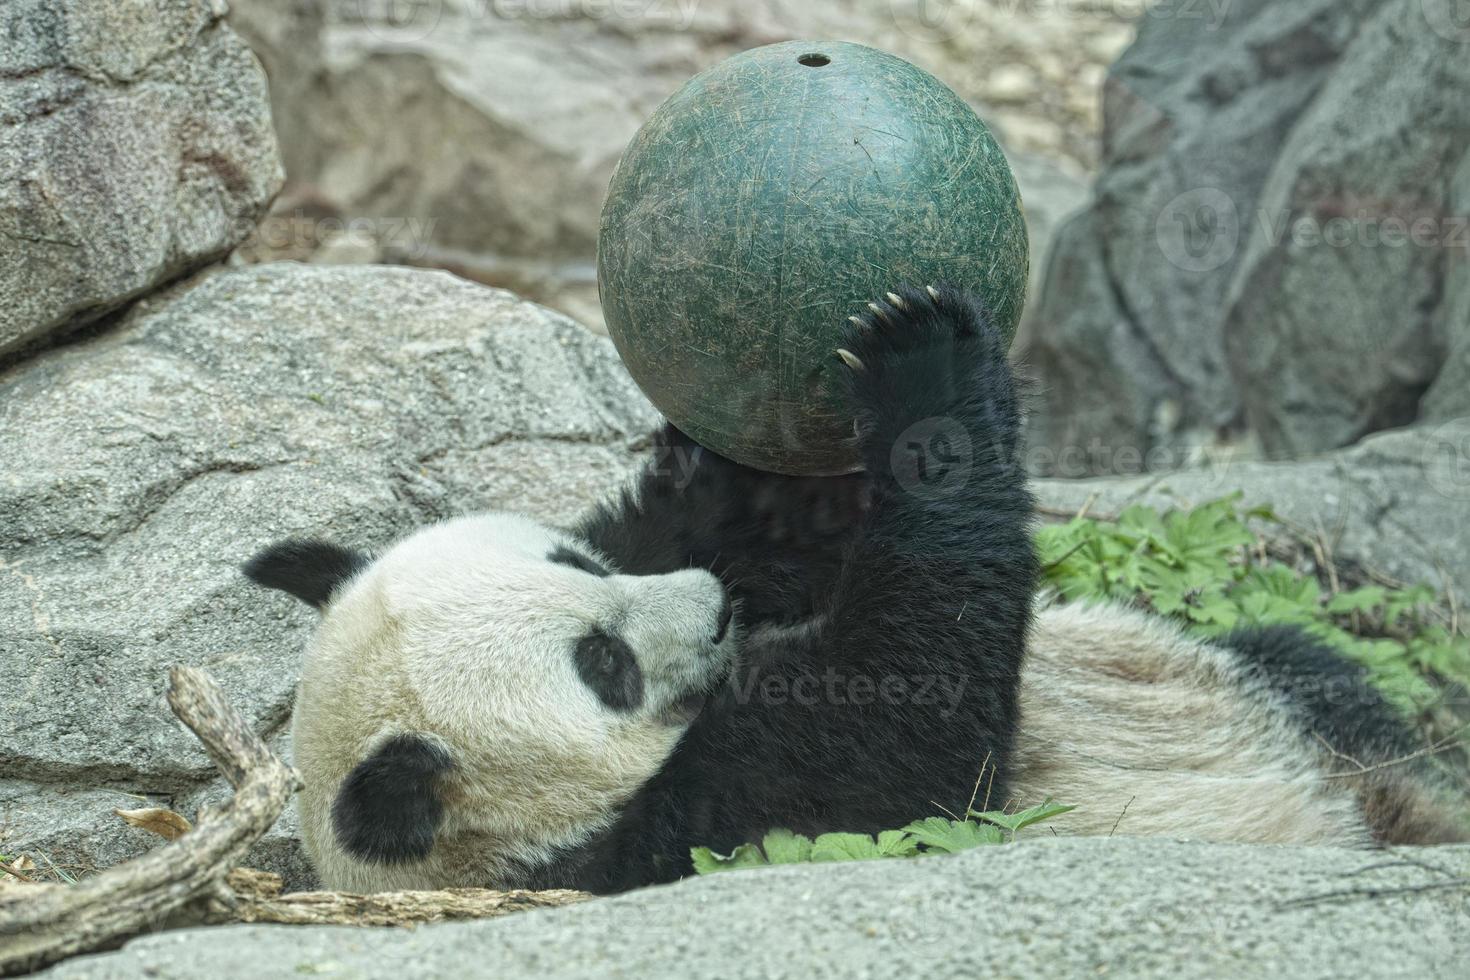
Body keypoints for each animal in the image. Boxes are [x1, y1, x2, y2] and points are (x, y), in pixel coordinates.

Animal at [246, 285, 1464, 899]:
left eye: (579, 571)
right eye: (605, 665)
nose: (714, 607)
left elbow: (757, 525)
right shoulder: (699, 825)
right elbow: (914, 730)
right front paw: (924, 364)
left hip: (1256, 674)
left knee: (1311, 668)